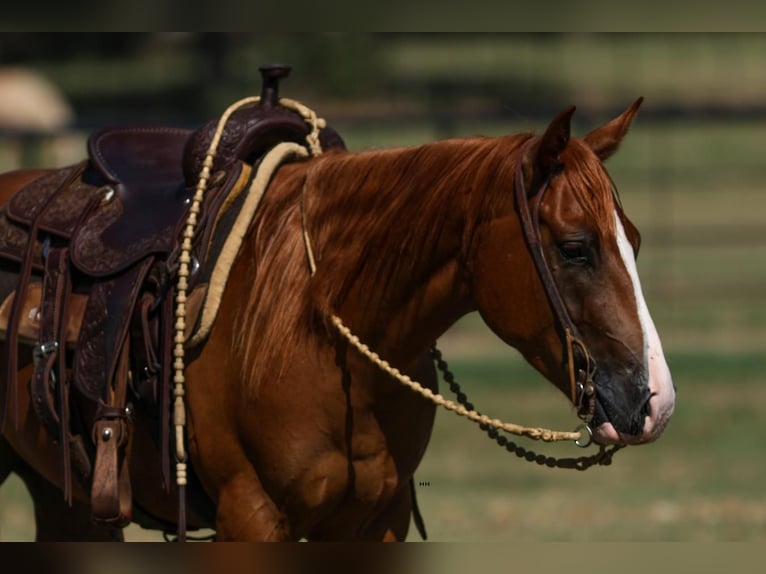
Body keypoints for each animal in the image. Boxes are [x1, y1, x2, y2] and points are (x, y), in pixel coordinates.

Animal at [0, 97, 676, 544]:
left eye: (637, 240)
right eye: (575, 247)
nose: (654, 401)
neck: (317, 331)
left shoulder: (377, 522)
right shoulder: (250, 518)